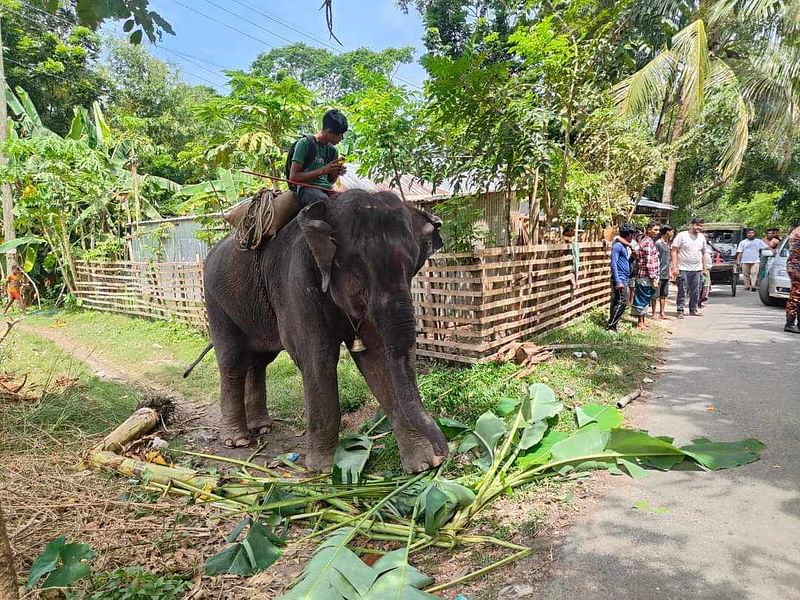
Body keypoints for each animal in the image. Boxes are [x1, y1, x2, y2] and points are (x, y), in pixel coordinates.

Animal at [202, 189, 450, 474]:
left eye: (412, 266)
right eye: (356, 265)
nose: (443, 454)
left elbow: (378, 358)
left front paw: (421, 465)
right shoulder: (296, 283)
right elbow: (317, 359)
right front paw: (322, 469)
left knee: (259, 361)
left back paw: (262, 428)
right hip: (217, 302)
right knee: (232, 361)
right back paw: (238, 440)